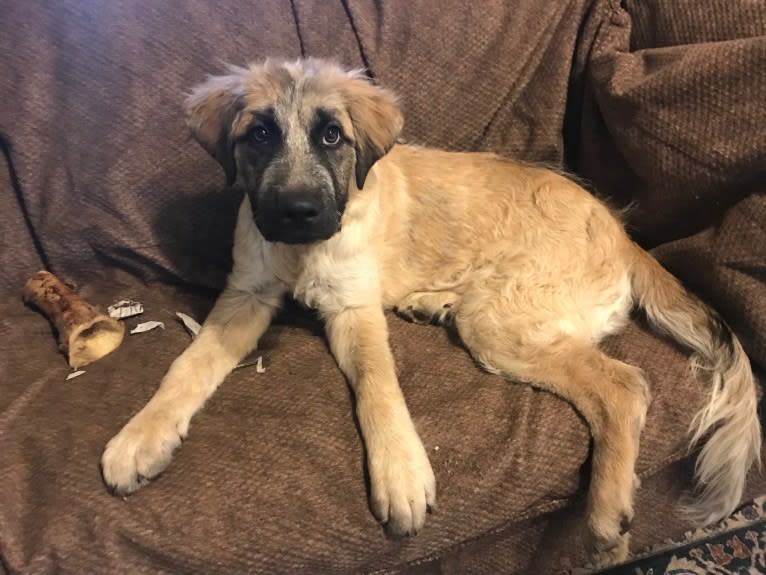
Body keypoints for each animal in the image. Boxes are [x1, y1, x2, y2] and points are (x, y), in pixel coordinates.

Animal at [100, 59, 760, 568]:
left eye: (332, 137)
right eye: (258, 135)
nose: (297, 211)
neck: (299, 252)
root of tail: (623, 235)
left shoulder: (355, 307)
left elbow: (377, 385)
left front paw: (399, 472)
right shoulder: (246, 295)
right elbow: (189, 365)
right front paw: (142, 435)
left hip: (502, 323)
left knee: (624, 386)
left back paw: (605, 515)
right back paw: (432, 301)